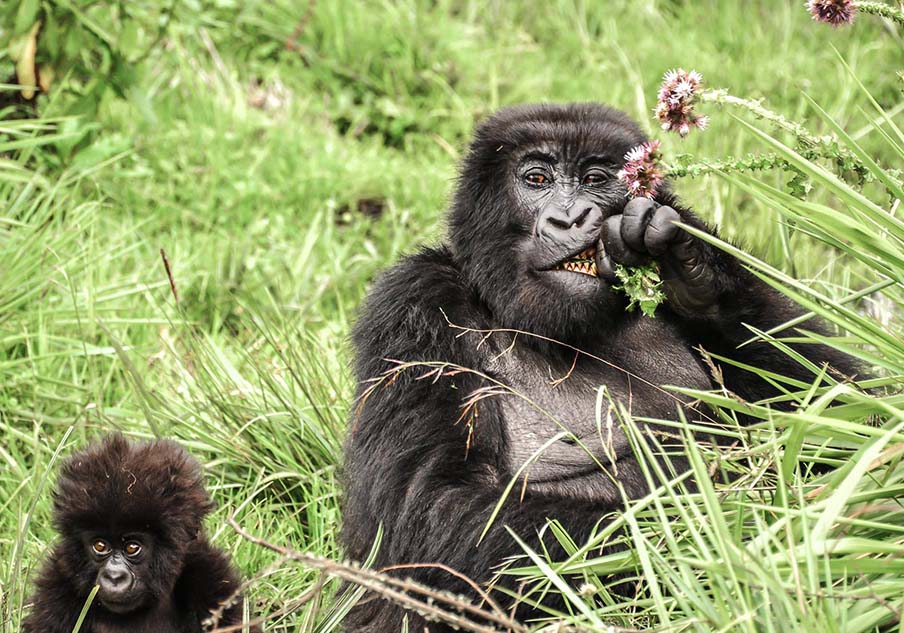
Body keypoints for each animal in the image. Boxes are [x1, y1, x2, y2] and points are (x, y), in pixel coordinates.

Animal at [340, 102, 856, 628]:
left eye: (595, 179)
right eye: (537, 178)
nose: (571, 218)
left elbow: (839, 400)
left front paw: (693, 269)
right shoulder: (414, 305)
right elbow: (435, 509)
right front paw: (732, 530)